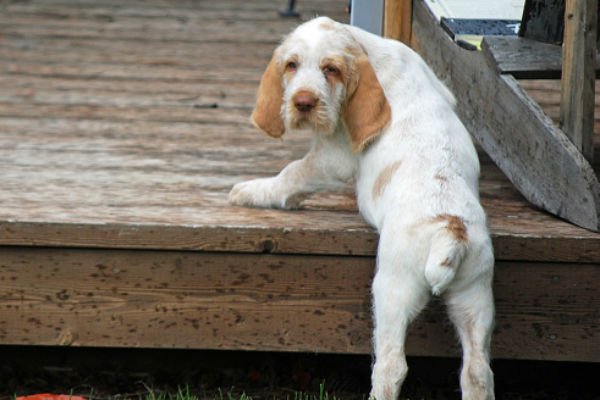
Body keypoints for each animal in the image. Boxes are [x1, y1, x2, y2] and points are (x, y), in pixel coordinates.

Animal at [227, 16, 494, 400]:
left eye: (331, 69)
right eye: (291, 65)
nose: (303, 102)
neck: (371, 52)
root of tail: (451, 230)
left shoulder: (333, 157)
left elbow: (293, 173)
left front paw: (251, 191)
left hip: (393, 290)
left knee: (391, 365)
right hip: (475, 295)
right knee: (477, 371)